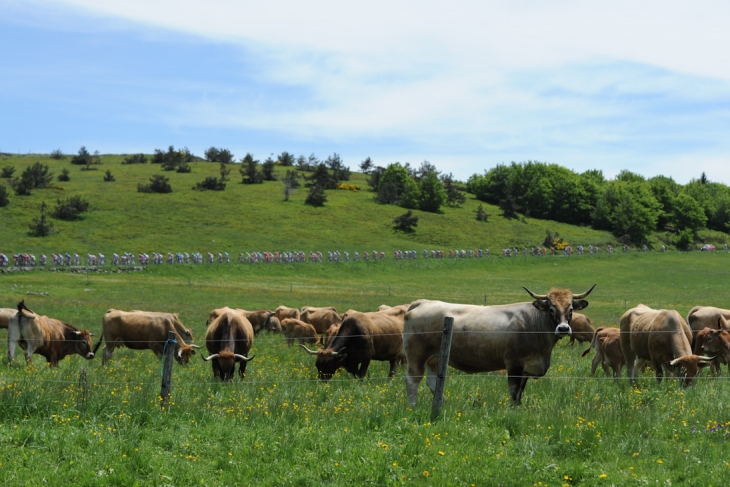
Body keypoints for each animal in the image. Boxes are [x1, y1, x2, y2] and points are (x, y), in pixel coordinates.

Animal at [400, 286, 596, 408]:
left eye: (571, 309)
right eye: (551, 309)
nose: (563, 328)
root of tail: (423, 302)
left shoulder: (527, 368)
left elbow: (520, 392)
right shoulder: (514, 364)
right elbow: (514, 391)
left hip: (434, 358)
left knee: (432, 381)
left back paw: (443, 402)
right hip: (416, 354)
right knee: (413, 380)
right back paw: (413, 406)